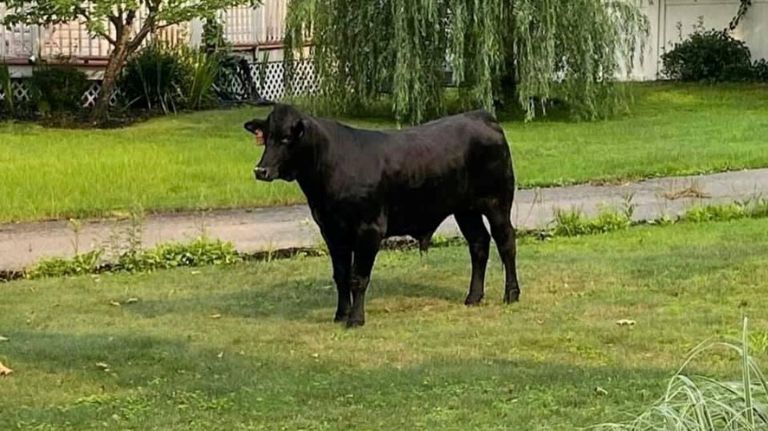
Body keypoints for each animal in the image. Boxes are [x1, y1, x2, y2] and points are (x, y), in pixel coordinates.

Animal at [244, 104, 520, 328]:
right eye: (266, 137)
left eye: (286, 138)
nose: (261, 170)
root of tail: (481, 116)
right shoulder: (331, 230)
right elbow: (341, 275)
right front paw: (340, 315)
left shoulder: (369, 228)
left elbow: (358, 277)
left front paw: (356, 319)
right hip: (465, 209)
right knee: (479, 244)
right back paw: (473, 297)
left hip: (497, 202)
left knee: (505, 241)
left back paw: (511, 294)